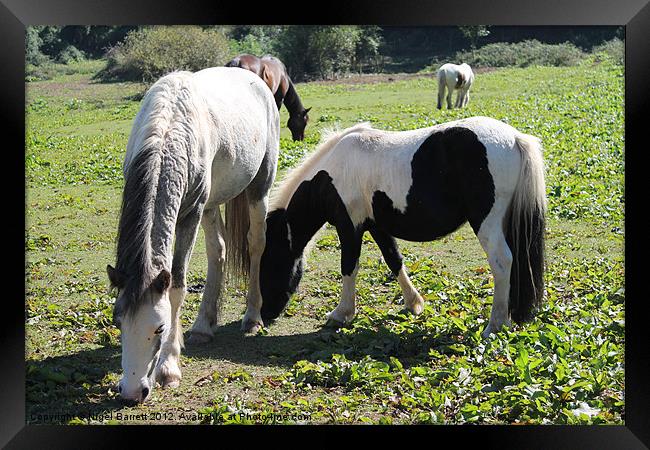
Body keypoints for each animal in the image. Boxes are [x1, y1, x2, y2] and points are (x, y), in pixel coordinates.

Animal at [106, 67, 278, 404]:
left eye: (159, 329)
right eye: (118, 321)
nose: (132, 393)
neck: (168, 131)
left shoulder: (191, 214)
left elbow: (178, 284)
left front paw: (169, 367)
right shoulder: (201, 205)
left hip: (257, 188)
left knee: (256, 245)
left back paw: (252, 317)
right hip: (213, 203)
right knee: (218, 251)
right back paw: (202, 326)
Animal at [256, 118, 544, 340]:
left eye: (269, 262)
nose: (265, 314)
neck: (329, 174)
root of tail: (515, 137)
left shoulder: (350, 227)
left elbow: (349, 267)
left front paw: (341, 314)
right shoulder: (377, 227)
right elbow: (394, 260)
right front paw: (414, 303)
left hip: (487, 223)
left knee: (502, 262)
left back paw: (494, 325)